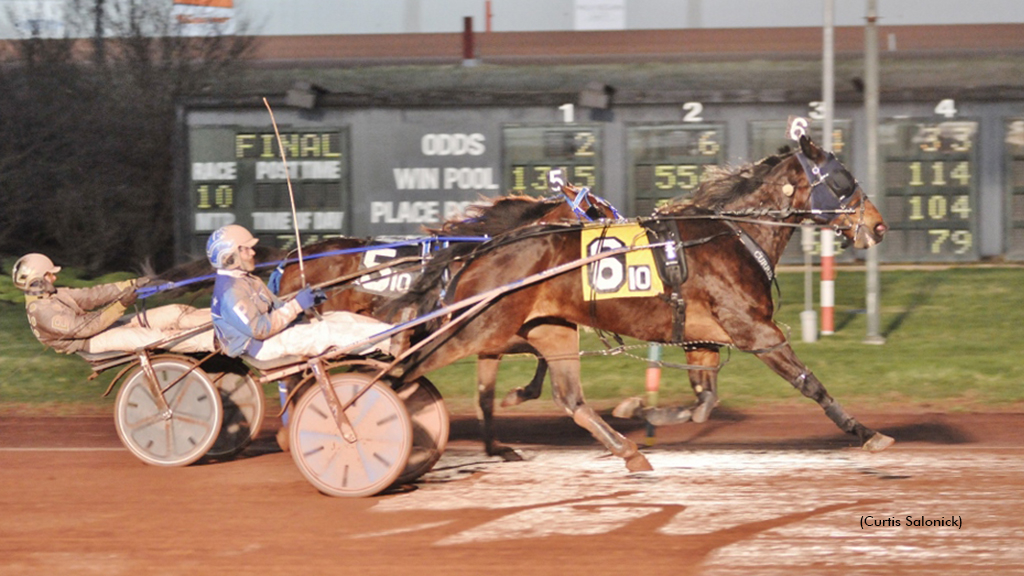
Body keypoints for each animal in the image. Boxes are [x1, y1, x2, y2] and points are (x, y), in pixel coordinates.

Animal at [276, 183, 618, 457]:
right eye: (598, 211)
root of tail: (292, 261)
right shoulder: (486, 331)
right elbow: (538, 356)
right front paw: (517, 397)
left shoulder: (490, 337)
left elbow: (489, 394)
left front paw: (498, 441)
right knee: (294, 378)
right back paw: (290, 432)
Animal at [380, 135, 892, 471]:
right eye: (842, 179)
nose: (878, 224)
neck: (733, 234)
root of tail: (482, 250)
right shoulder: (756, 331)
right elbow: (810, 384)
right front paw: (866, 432)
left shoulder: (703, 338)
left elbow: (704, 402)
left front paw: (640, 412)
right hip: (475, 328)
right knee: (406, 369)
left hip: (544, 329)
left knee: (569, 399)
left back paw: (626, 450)